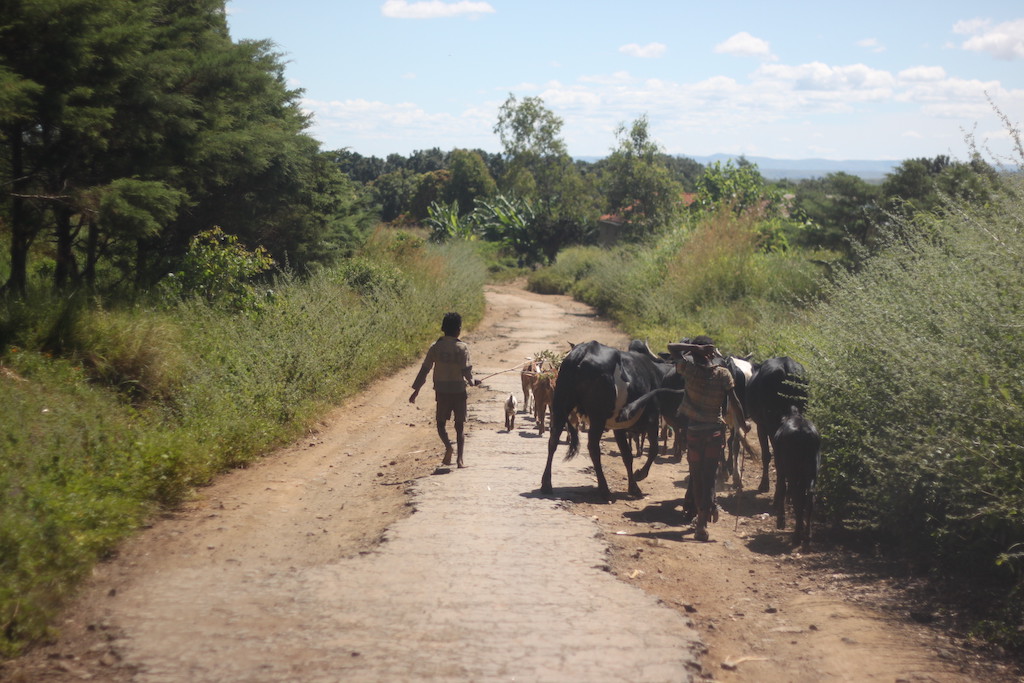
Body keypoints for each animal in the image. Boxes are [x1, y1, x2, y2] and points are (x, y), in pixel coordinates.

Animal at [544, 342, 663, 501]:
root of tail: (583, 351)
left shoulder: (619, 426)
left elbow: (627, 455)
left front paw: (633, 487)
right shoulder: (652, 417)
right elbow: (653, 449)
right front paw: (639, 476)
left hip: (560, 406)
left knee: (553, 441)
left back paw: (546, 484)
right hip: (597, 417)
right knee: (593, 448)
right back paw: (604, 490)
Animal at [770, 405, 819, 544]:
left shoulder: (781, 468)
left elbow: (781, 488)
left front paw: (781, 521)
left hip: (792, 470)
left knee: (796, 496)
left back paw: (797, 535)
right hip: (812, 470)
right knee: (809, 497)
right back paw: (807, 534)